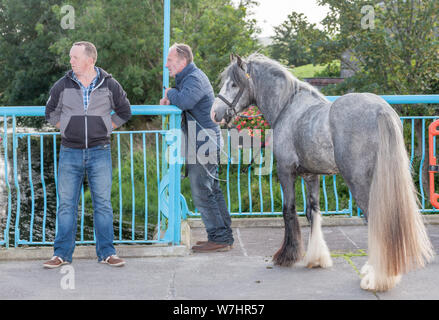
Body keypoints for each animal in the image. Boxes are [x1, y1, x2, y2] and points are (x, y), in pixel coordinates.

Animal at [211, 53, 434, 292]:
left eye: (234, 84)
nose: (215, 113)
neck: (287, 108)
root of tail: (381, 111)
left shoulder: (285, 171)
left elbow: (288, 211)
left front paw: (287, 256)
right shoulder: (311, 175)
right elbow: (313, 213)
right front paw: (317, 258)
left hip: (359, 183)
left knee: (374, 221)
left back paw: (376, 278)